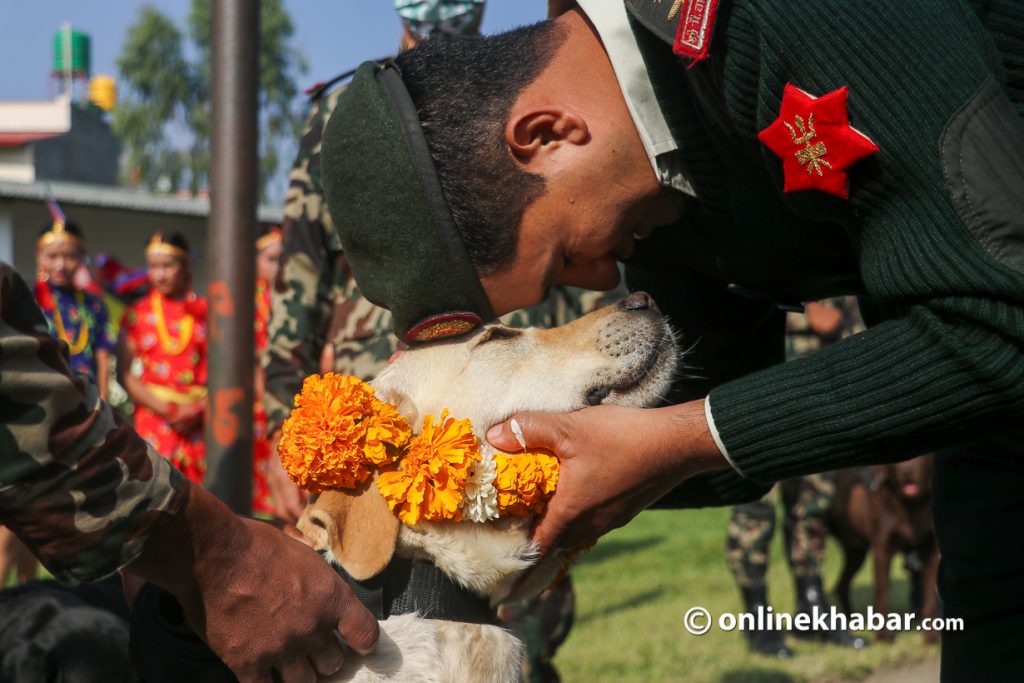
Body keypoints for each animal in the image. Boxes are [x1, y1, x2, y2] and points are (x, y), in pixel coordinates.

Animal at [827, 456, 937, 643]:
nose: (907, 471)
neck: (912, 506)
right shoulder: (881, 552)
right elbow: (882, 595)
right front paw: (883, 636)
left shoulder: (930, 553)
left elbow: (930, 599)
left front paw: (931, 636)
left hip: (856, 553)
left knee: (842, 584)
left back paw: (852, 620)